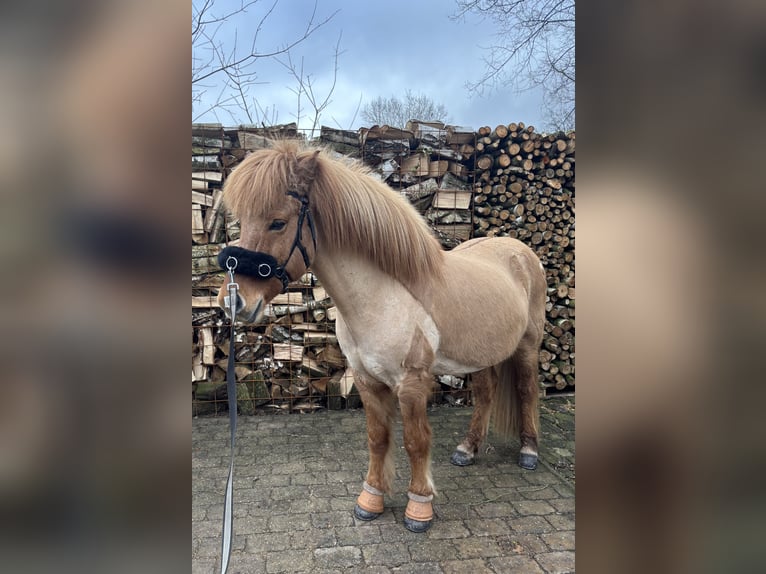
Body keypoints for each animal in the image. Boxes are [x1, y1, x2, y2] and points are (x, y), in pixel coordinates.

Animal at [216, 140, 547, 533]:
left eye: (278, 222)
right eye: (243, 221)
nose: (232, 301)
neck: (383, 296)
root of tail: (521, 252)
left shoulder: (412, 383)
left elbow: (416, 441)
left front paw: (419, 507)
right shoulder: (366, 380)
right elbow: (378, 438)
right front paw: (371, 499)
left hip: (527, 345)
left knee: (526, 390)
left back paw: (529, 451)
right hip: (481, 353)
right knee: (485, 393)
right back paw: (467, 449)